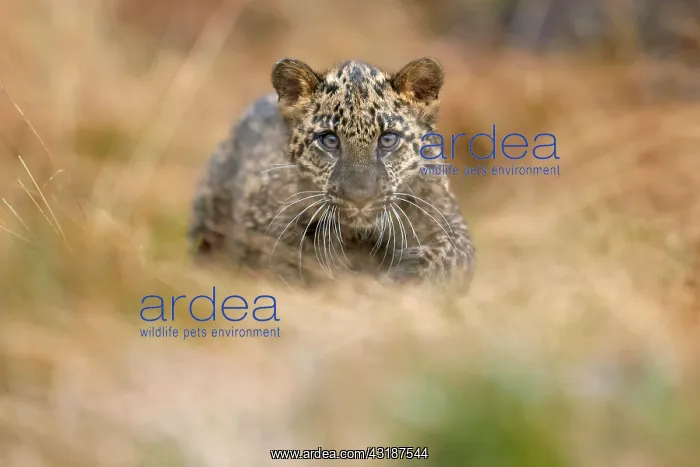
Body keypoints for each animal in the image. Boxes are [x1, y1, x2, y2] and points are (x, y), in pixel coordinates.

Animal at [187, 57, 476, 288]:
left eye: (387, 139)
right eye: (329, 140)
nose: (360, 197)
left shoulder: (449, 223)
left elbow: (448, 255)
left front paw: (402, 276)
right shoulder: (263, 220)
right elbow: (286, 257)